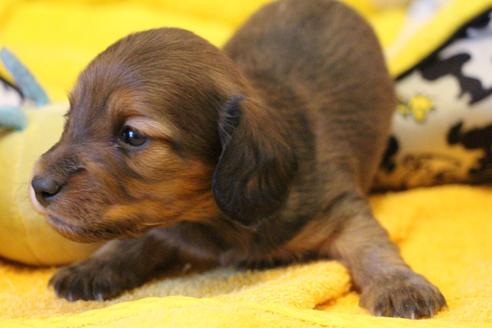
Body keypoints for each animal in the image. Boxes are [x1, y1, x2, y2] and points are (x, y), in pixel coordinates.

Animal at [30, 0, 446, 320]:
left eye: (132, 135)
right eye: (70, 116)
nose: (38, 186)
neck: (212, 218)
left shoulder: (341, 206)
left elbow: (371, 245)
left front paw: (399, 285)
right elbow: (134, 240)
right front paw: (93, 266)